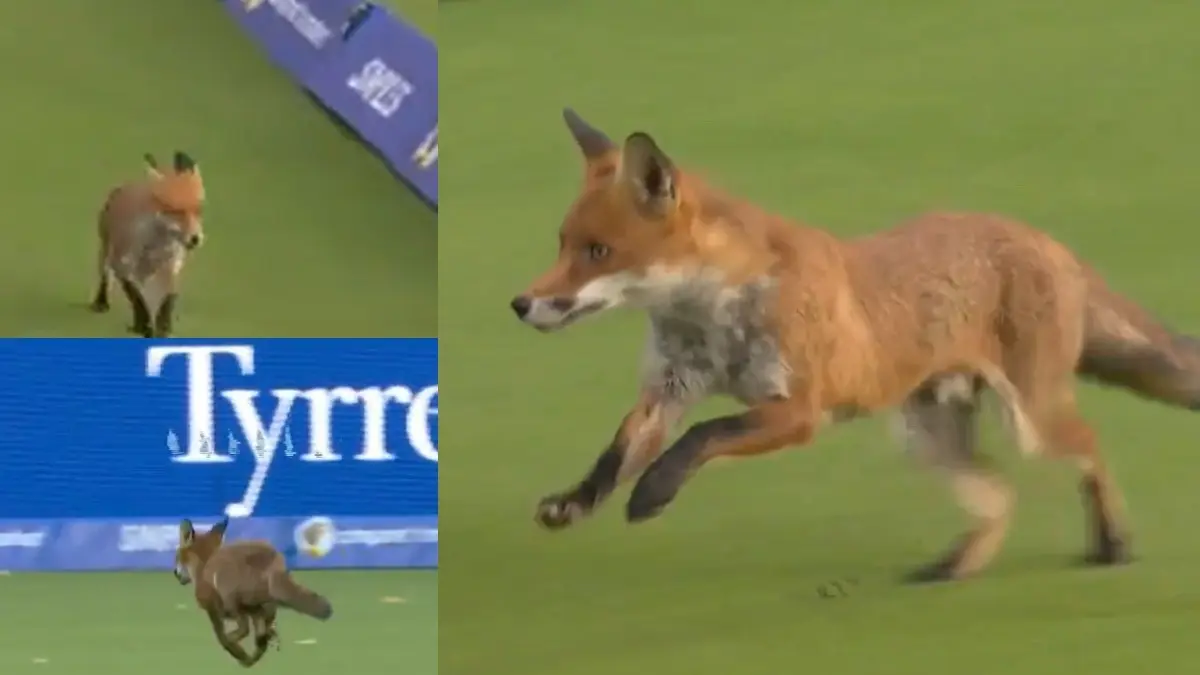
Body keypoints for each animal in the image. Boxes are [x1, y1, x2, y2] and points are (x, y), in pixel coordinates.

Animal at [90, 151, 205, 337]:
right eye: (175, 211)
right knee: (106, 276)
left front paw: (163, 327)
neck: (156, 245)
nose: (195, 239)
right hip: (108, 252)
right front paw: (143, 326)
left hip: (150, 271)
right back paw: (102, 302)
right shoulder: (123, 264)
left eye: (198, 210)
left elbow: (168, 299)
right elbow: (136, 297)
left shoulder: (172, 266)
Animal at [174, 517, 333, 667]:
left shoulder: (213, 608)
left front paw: (237, 651)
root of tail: (271, 560)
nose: (175, 573)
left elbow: (223, 635)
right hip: (265, 605)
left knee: (247, 629)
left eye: (176, 557)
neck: (204, 564)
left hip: (231, 595)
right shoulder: (250, 611)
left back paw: (240, 648)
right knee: (261, 635)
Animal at [509, 107, 1200, 583]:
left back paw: (1113, 542)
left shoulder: (797, 410)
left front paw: (653, 493)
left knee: (1089, 449)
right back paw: (955, 566)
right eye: (563, 244)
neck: (712, 314)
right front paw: (575, 503)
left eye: (598, 251)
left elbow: (704, 437)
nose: (520, 304)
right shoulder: (670, 388)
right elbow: (615, 452)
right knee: (1000, 496)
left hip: (1031, 421)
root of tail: (1046, 239)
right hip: (927, 438)